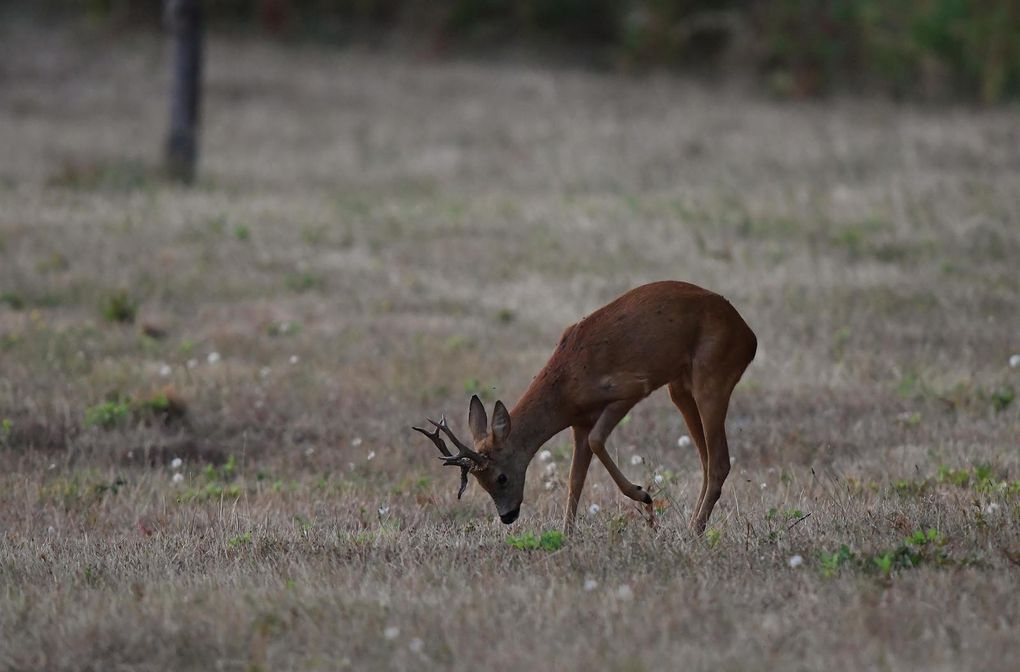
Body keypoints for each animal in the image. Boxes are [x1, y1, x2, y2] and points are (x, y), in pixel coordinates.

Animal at [410, 281, 754, 534]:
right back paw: (694, 526)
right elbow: (575, 479)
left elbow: (597, 441)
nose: (507, 516)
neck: (567, 384)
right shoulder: (580, 421)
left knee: (719, 462)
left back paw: (693, 531)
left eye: (502, 477)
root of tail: (749, 336)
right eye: (480, 483)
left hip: (712, 377)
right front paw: (567, 535)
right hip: (680, 388)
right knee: (707, 461)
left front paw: (645, 500)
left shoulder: (629, 390)